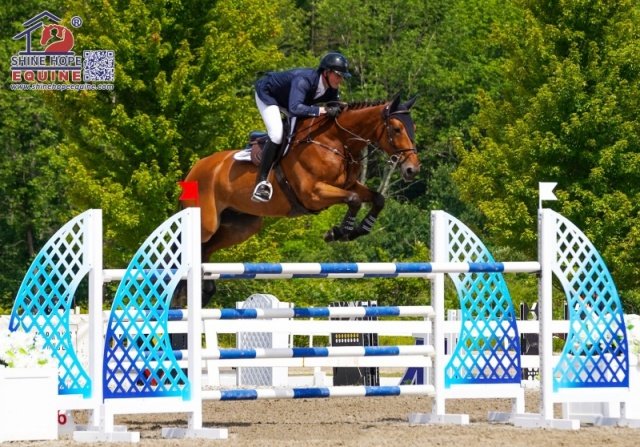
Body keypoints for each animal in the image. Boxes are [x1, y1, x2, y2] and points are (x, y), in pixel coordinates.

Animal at [181, 94, 420, 303]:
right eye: (397, 129)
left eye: (413, 128)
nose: (413, 170)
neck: (335, 141)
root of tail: (195, 169)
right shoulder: (314, 194)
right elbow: (353, 200)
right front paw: (340, 232)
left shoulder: (348, 185)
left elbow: (377, 199)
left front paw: (358, 230)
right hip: (207, 223)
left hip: (242, 226)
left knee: (206, 249)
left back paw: (202, 291)